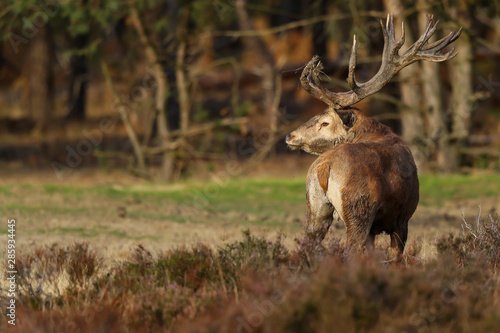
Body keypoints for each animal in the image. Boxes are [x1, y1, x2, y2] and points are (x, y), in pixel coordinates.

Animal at [288, 13, 462, 256]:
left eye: (324, 122)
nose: (290, 136)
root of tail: (325, 167)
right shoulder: (402, 218)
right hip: (359, 209)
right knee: (350, 250)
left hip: (315, 207)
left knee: (305, 246)